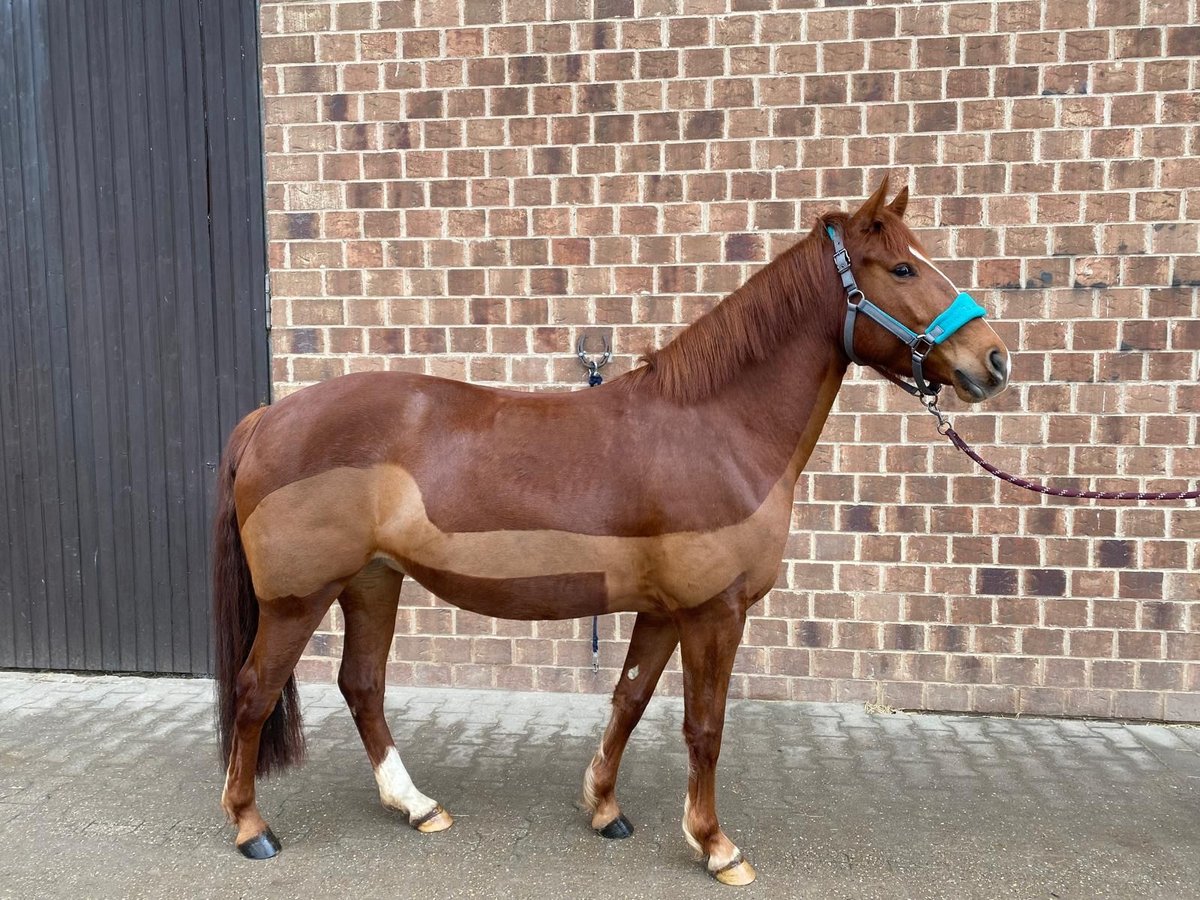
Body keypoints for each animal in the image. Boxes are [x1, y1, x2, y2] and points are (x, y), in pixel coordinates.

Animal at [213, 180, 1003, 883]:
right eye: (902, 269)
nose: (993, 361)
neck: (717, 428)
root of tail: (268, 418)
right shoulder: (714, 613)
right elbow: (705, 728)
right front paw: (715, 846)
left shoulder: (664, 611)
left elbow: (629, 700)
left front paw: (603, 807)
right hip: (298, 599)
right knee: (255, 691)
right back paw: (252, 827)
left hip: (372, 581)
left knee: (362, 685)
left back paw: (416, 805)